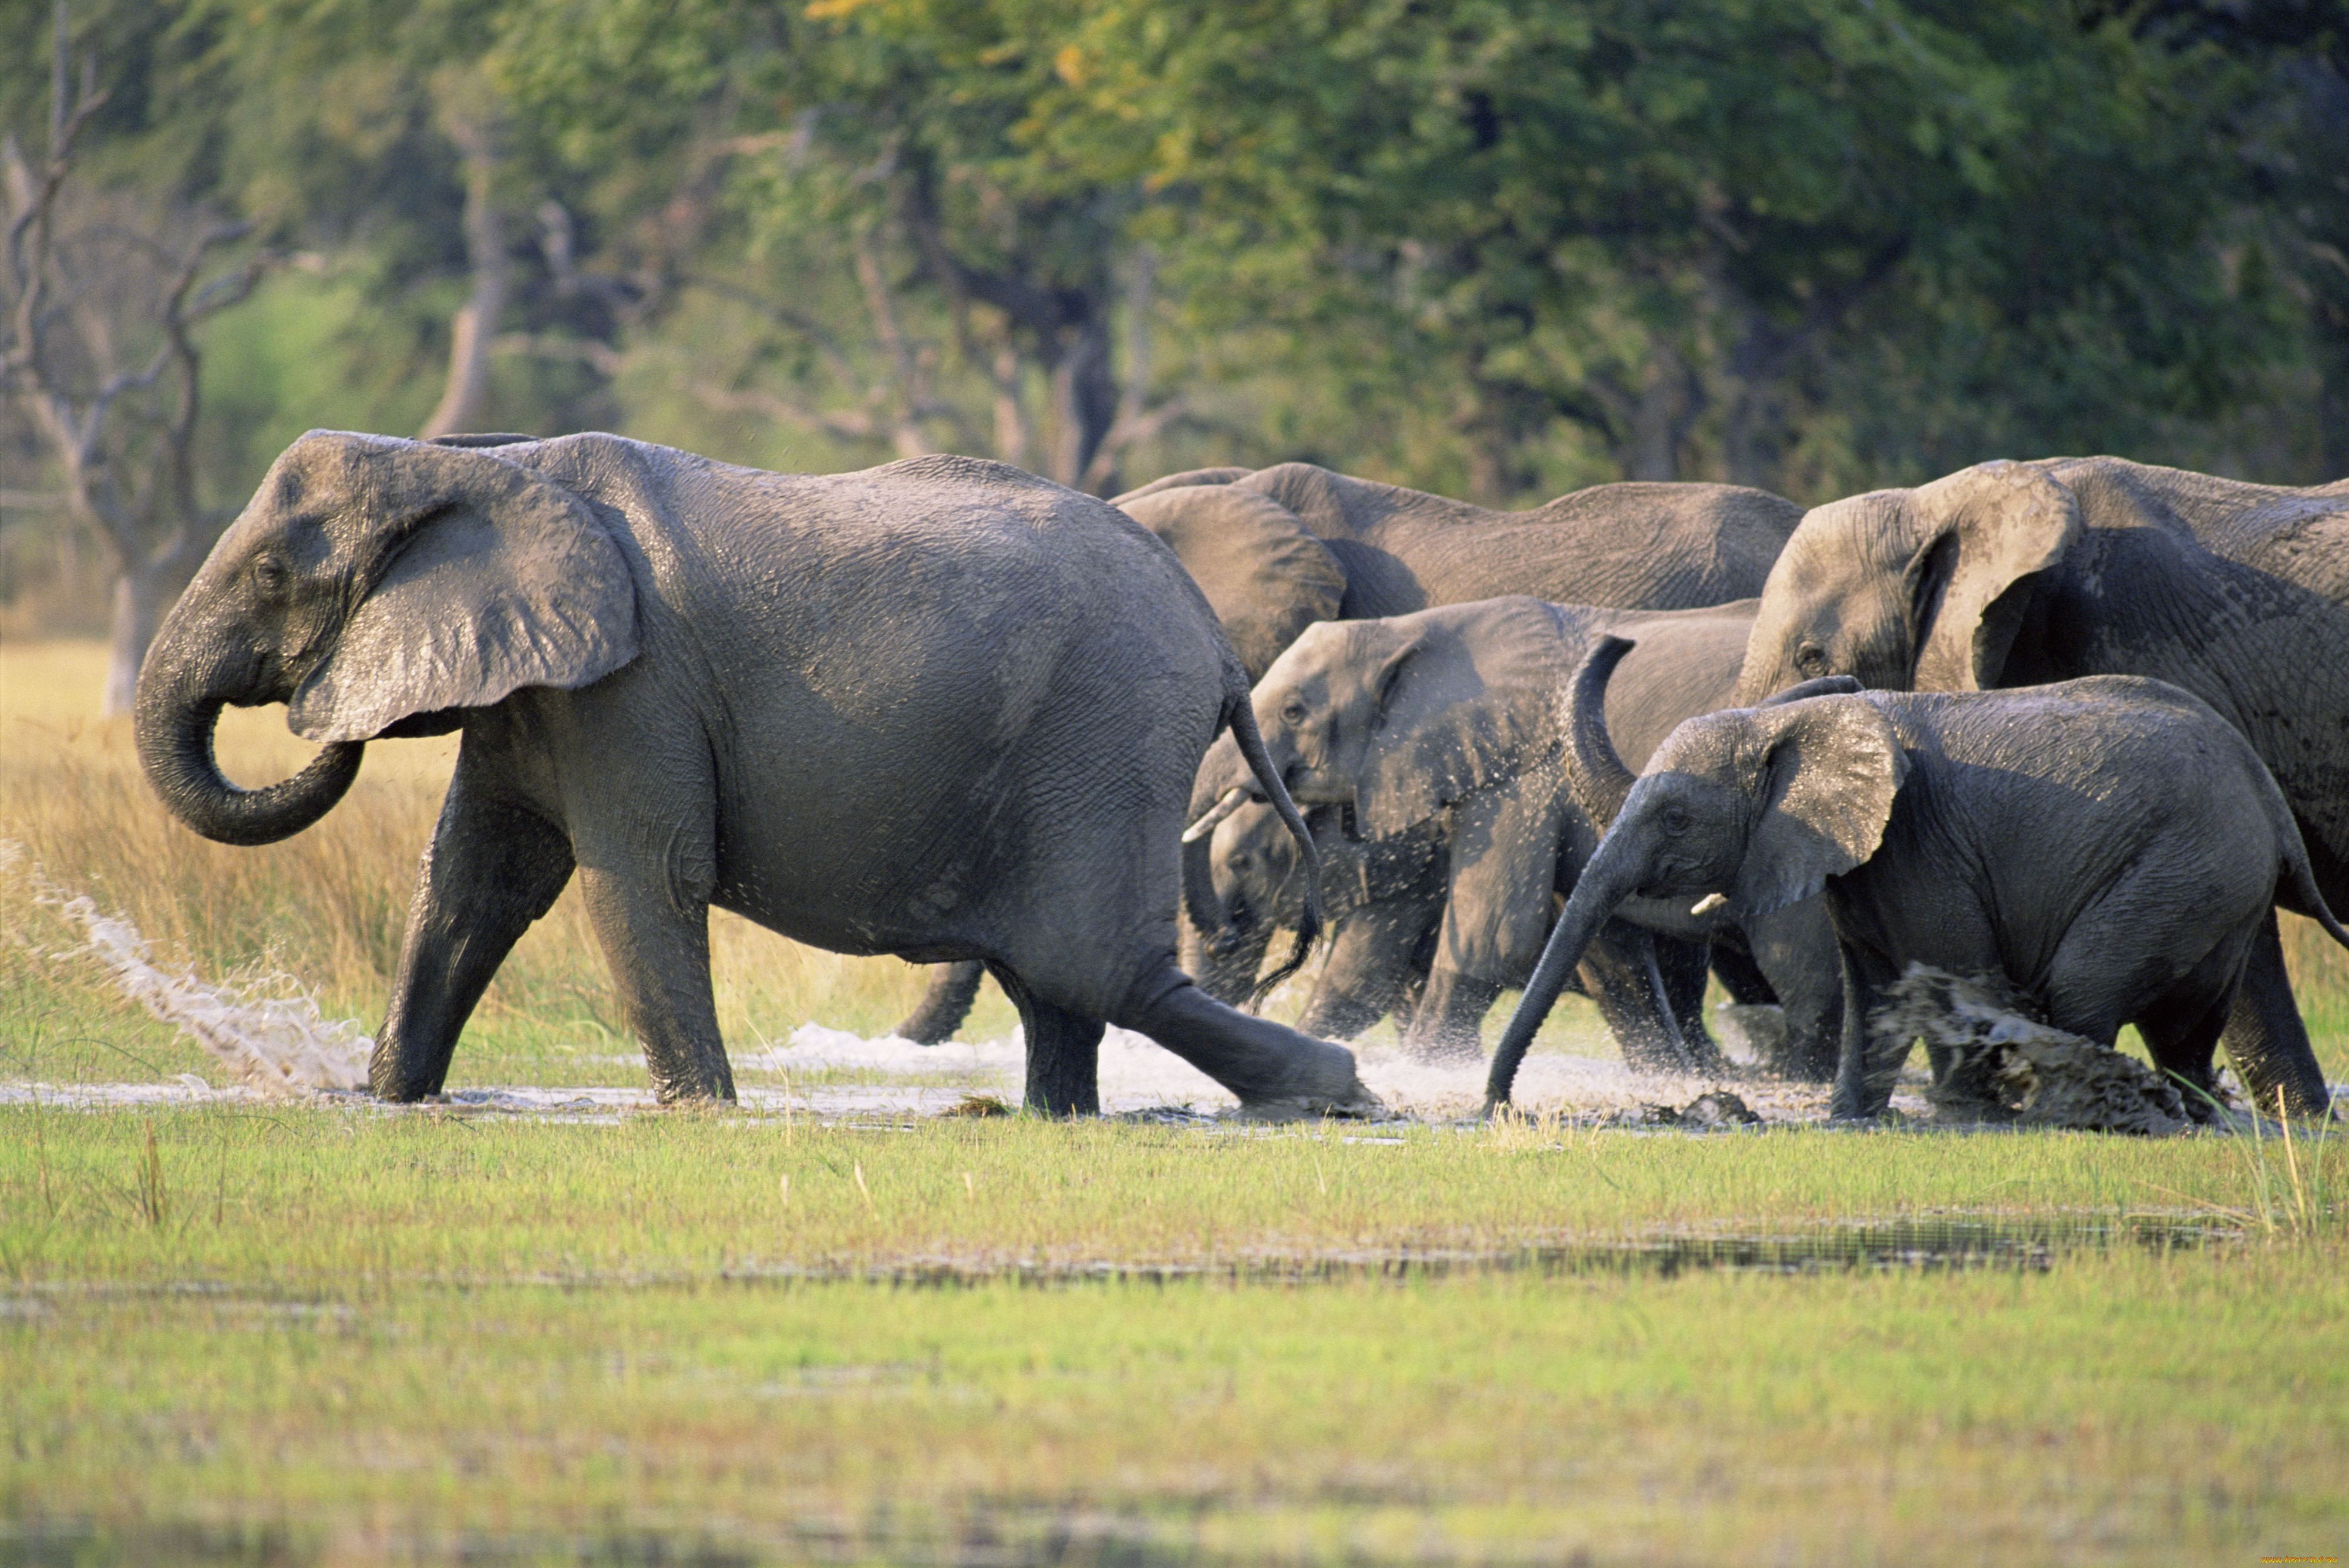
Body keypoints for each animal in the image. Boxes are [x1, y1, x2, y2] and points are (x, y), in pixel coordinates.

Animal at [133, 429, 1372, 1112]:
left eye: (274, 574)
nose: (323, 725)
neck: (482, 467)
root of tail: (1216, 642)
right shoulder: (544, 690)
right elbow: (473, 887)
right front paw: (388, 1102)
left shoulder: (634, 689)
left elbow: (639, 884)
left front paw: (704, 1115)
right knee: (1062, 987)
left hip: (1107, 735)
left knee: (1097, 968)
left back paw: (1339, 1093)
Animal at [1485, 643, 2349, 1122]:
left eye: (1673, 817)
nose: (1497, 1111)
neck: (1788, 724)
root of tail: (2268, 799)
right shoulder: (1866, 866)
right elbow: (1873, 995)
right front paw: (1849, 1122)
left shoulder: (1920, 847)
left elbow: (1948, 976)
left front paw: (1960, 1116)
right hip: (2214, 886)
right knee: (2188, 1029)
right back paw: (2190, 1116)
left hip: (2183, 865)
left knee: (2085, 991)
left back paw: (2067, 1112)